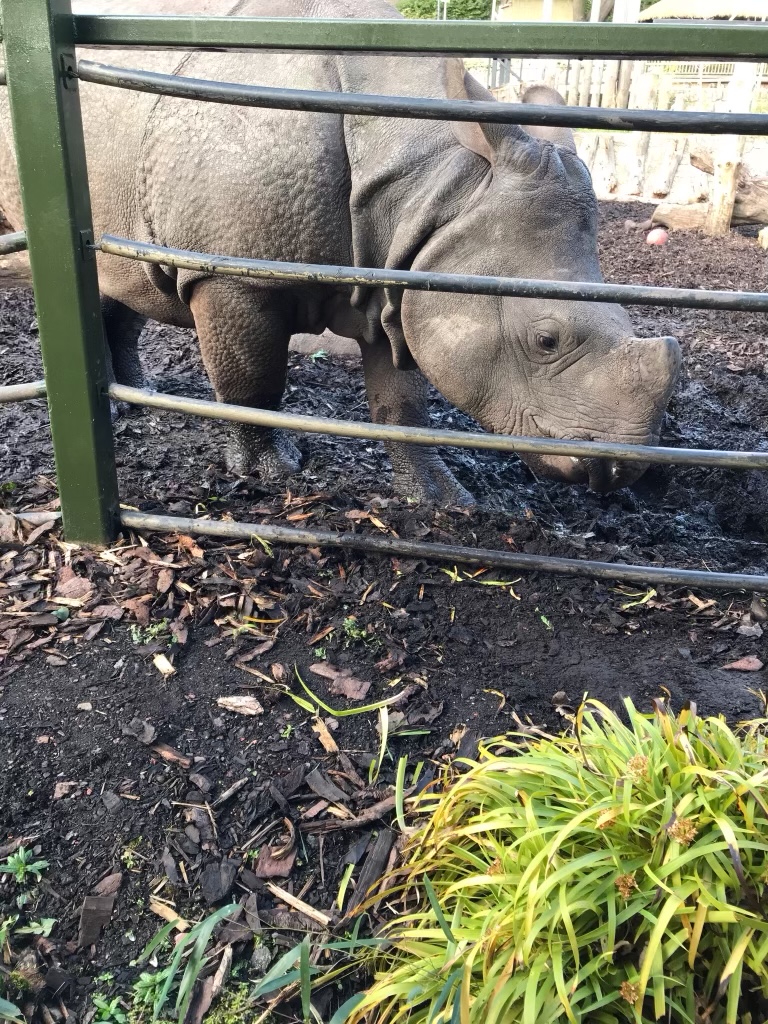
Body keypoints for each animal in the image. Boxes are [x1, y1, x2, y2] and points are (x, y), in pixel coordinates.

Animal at [0, 0, 680, 504]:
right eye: (546, 340)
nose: (620, 472)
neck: (440, 186)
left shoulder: (402, 271)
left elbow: (403, 401)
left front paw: (441, 500)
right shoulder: (235, 276)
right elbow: (251, 379)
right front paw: (271, 472)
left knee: (122, 271)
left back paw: (137, 397)